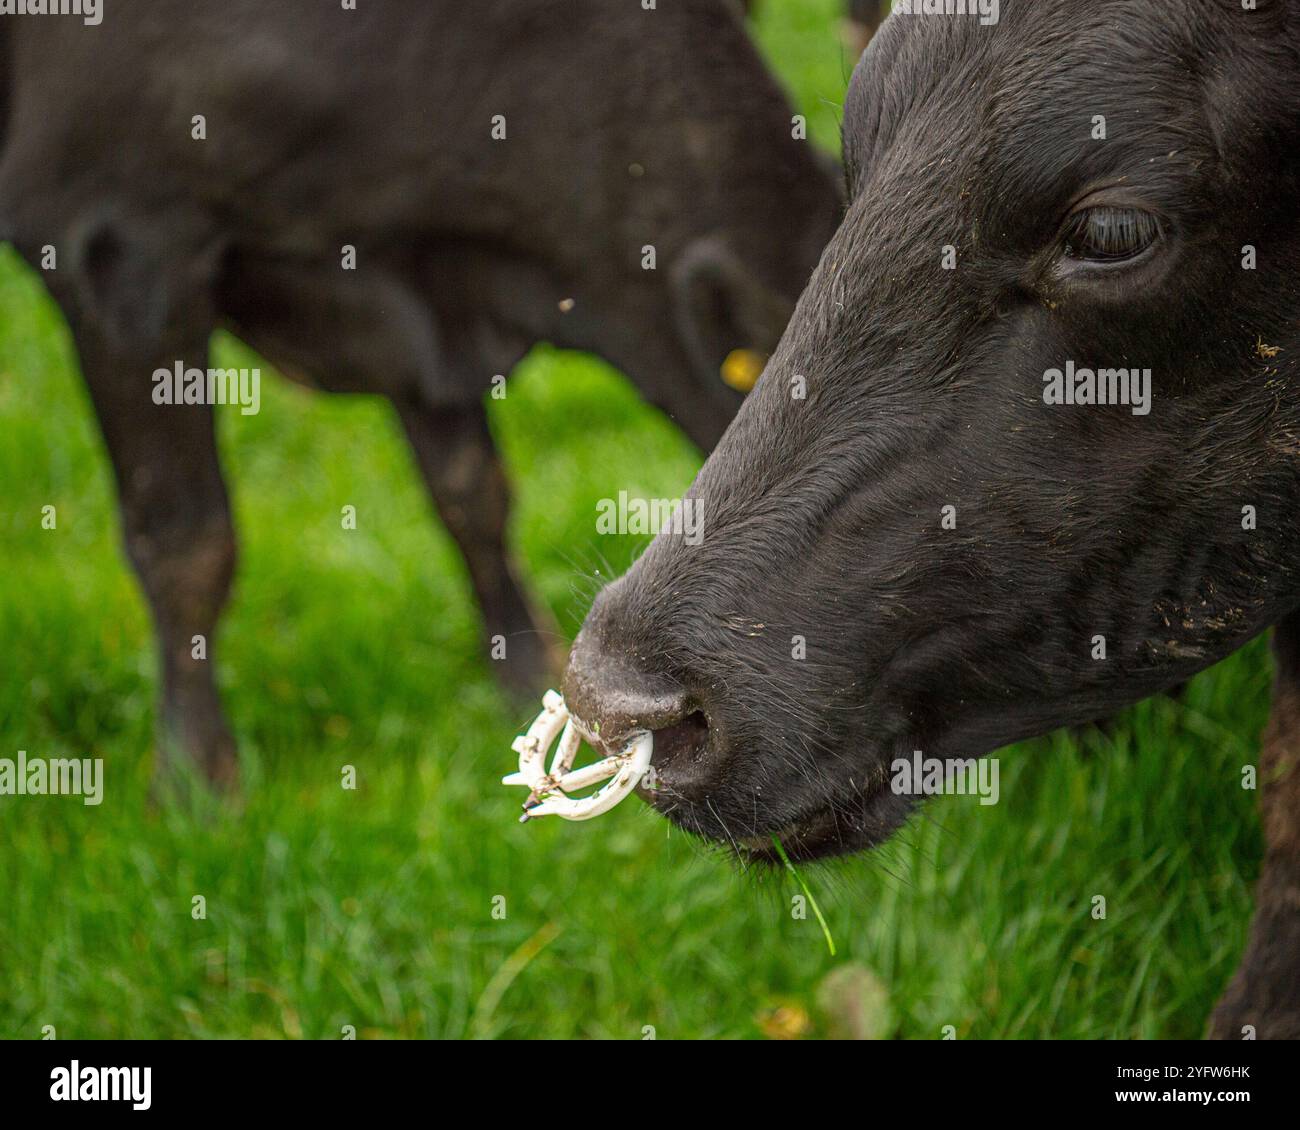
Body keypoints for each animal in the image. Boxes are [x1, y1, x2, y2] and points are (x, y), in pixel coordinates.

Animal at [0, 0, 842, 785]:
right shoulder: (117, 249)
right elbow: (186, 541)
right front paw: (195, 782)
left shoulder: (416, 297)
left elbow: (472, 493)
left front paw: (525, 677)